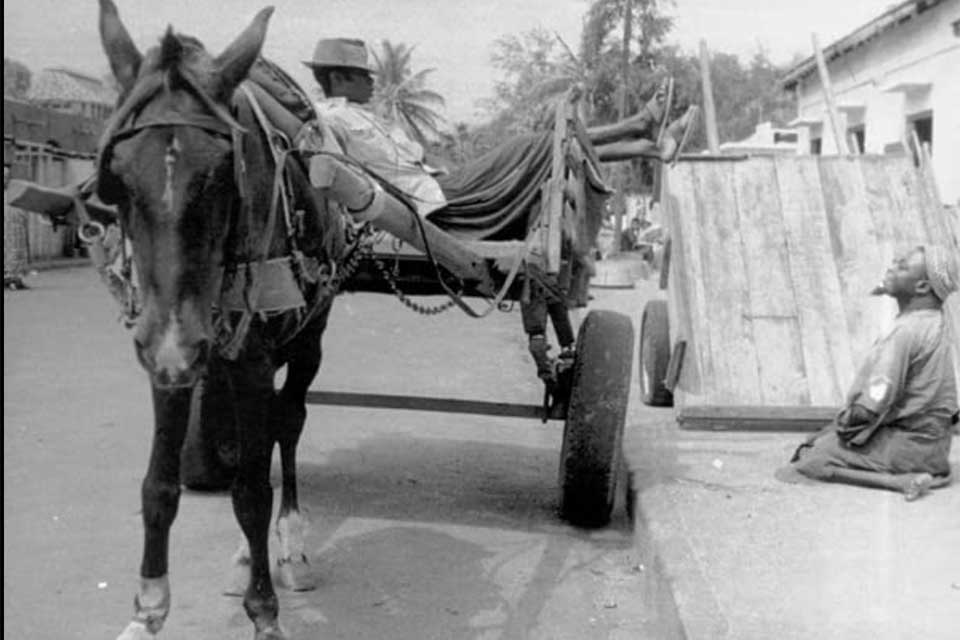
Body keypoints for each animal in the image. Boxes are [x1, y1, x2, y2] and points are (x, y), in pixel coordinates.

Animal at [96, 2, 342, 636]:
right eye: (117, 177)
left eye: (224, 175)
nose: (176, 346)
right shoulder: (167, 353)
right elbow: (160, 486)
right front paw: (148, 607)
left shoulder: (244, 356)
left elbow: (253, 491)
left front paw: (266, 610)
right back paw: (244, 557)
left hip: (308, 338)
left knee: (288, 421)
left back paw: (291, 545)